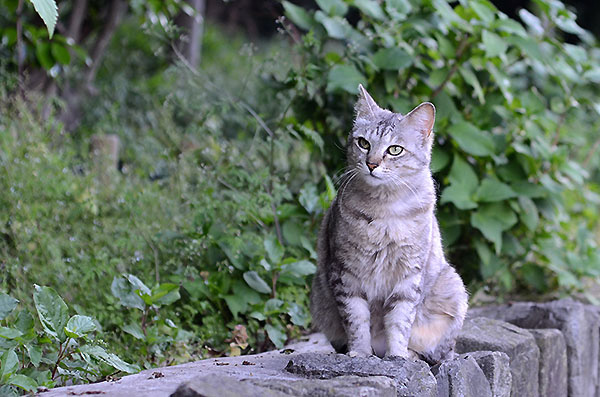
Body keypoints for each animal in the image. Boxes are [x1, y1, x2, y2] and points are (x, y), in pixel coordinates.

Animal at [310, 84, 468, 362]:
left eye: (395, 150)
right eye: (363, 143)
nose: (371, 163)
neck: (385, 211)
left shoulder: (409, 276)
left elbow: (399, 321)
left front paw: (397, 356)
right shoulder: (346, 273)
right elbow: (356, 320)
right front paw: (361, 353)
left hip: (453, 290)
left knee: (439, 352)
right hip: (319, 297)